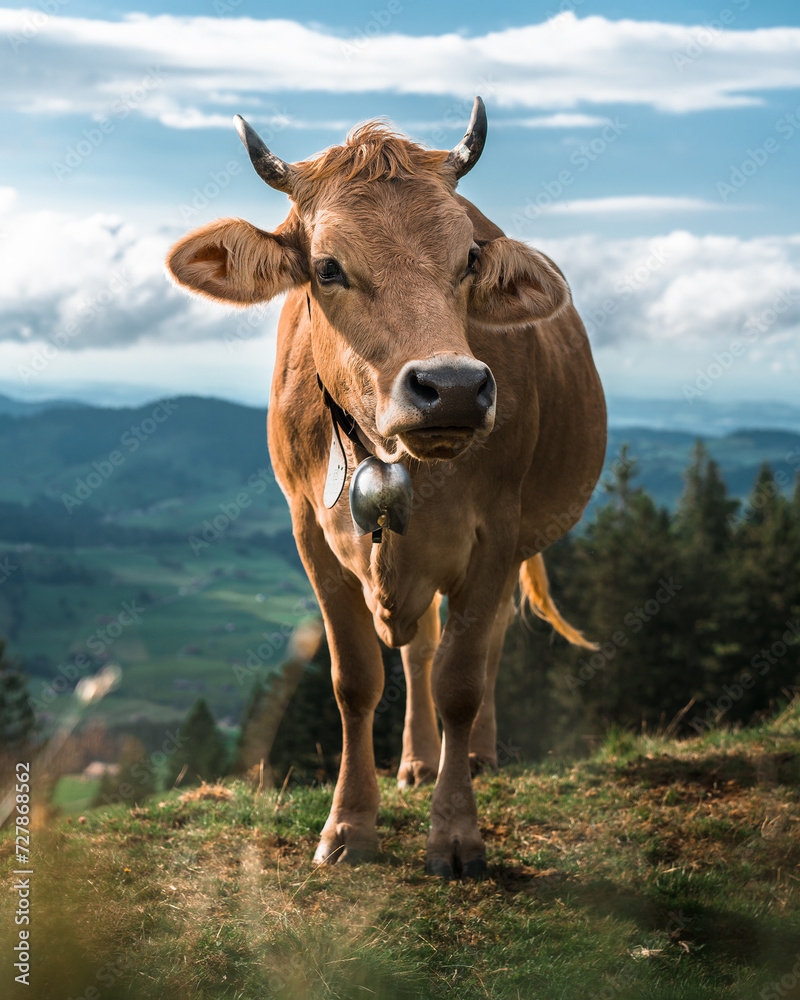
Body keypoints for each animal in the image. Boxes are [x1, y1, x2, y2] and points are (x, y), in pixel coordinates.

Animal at [167, 97, 608, 880]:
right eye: (327, 267)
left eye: (468, 258)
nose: (454, 388)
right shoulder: (309, 532)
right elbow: (356, 680)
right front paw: (349, 825)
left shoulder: (495, 534)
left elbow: (461, 681)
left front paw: (456, 833)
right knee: (418, 648)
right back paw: (416, 760)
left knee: (482, 645)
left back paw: (473, 756)